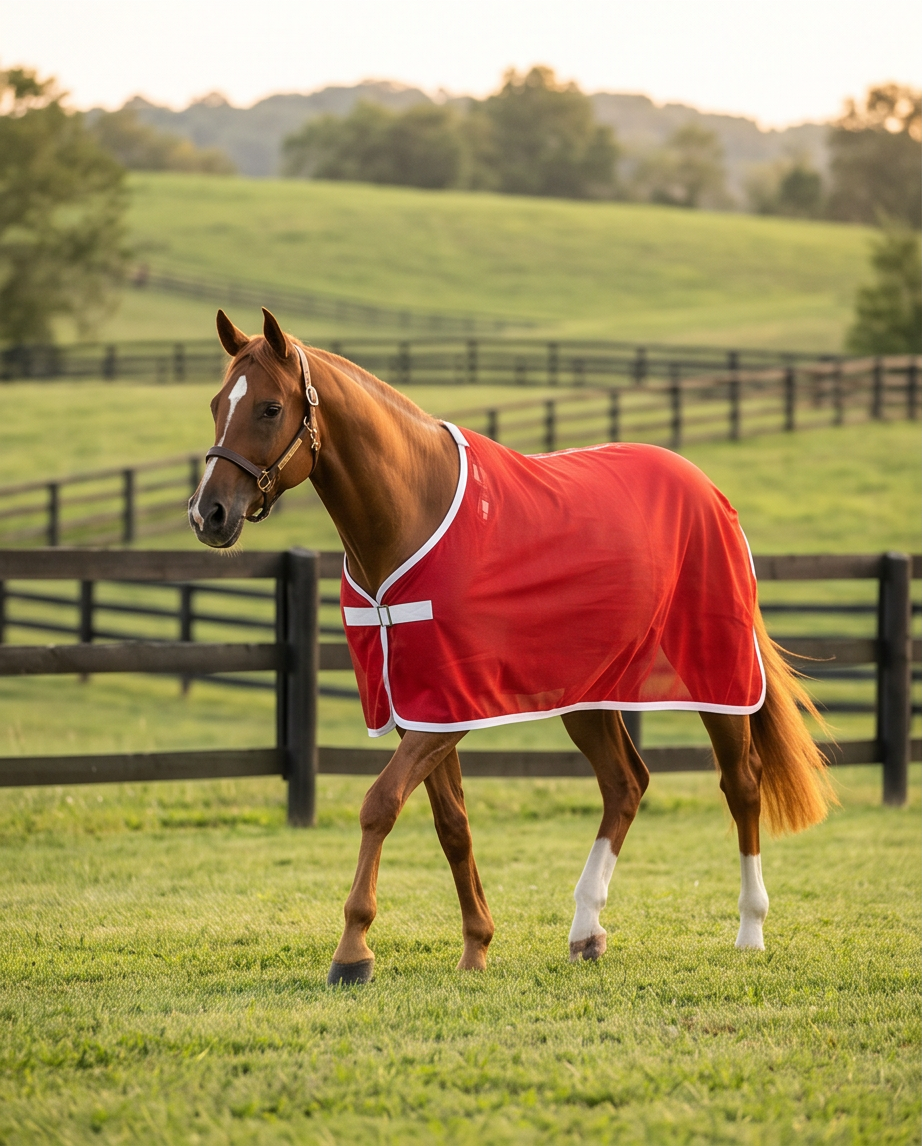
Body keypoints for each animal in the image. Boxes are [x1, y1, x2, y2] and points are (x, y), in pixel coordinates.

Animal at [190, 308, 833, 986]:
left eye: (268, 408)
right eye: (216, 403)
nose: (207, 513)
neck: (411, 515)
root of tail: (709, 491)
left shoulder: (451, 707)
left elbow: (380, 804)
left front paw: (353, 951)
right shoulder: (425, 710)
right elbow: (452, 825)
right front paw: (476, 945)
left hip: (716, 679)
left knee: (742, 784)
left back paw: (750, 931)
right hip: (588, 696)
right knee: (625, 784)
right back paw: (586, 930)